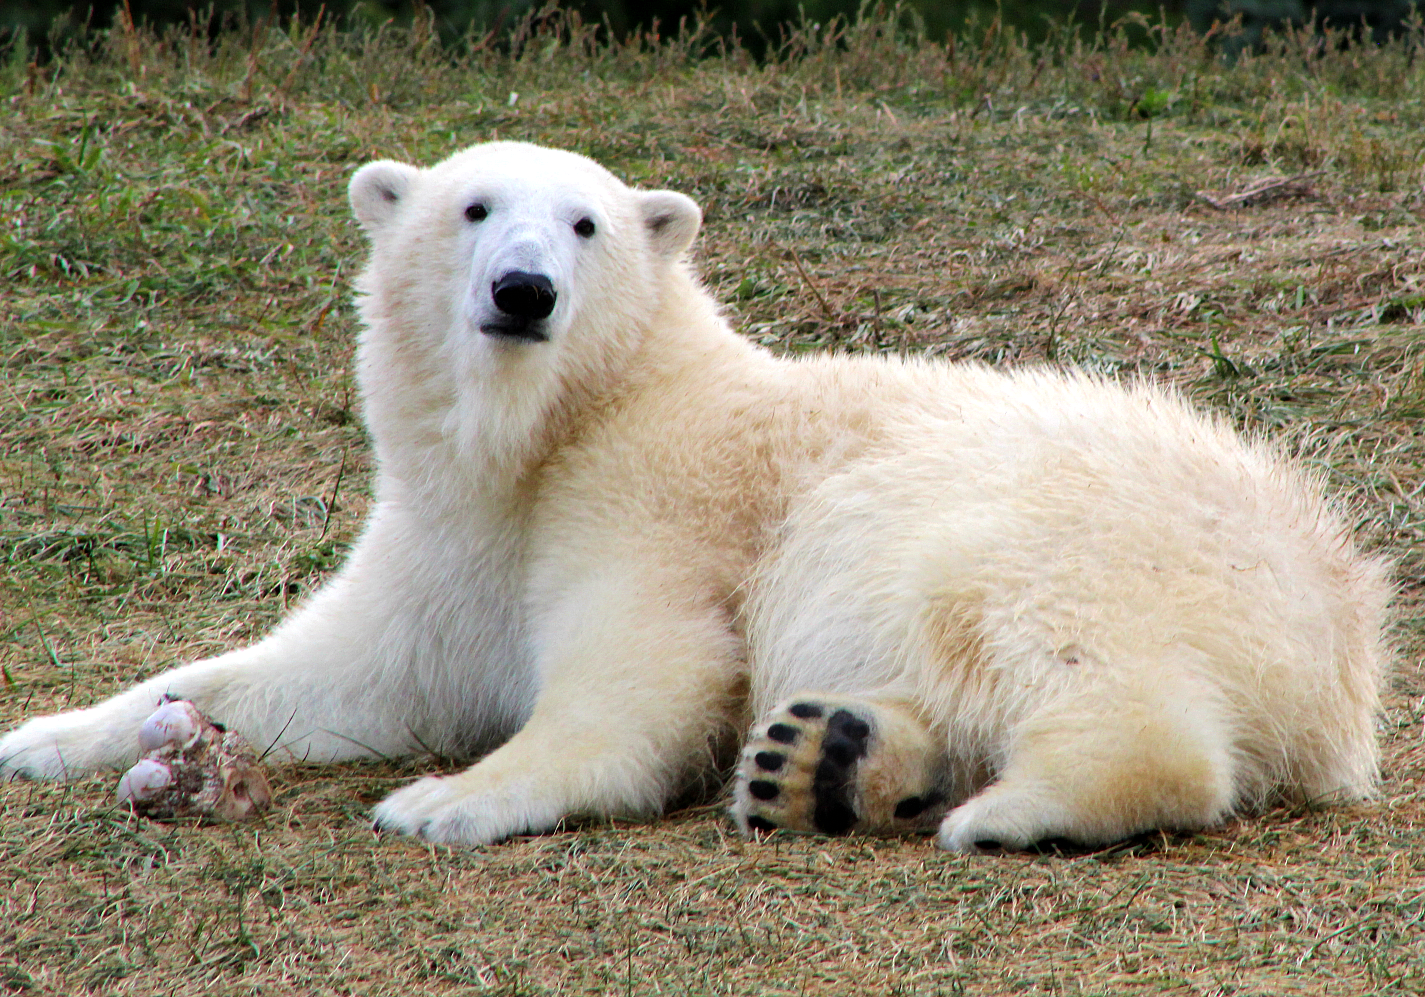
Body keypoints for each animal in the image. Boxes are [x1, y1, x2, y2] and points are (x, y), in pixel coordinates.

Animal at [0, 141, 1391, 852]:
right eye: (474, 208)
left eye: (587, 225)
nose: (523, 291)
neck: (558, 428)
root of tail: (1342, 620)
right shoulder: (449, 544)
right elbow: (336, 672)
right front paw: (55, 734)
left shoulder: (653, 495)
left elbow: (643, 671)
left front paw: (443, 798)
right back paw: (823, 760)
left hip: (1089, 530)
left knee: (1056, 642)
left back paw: (1010, 806)